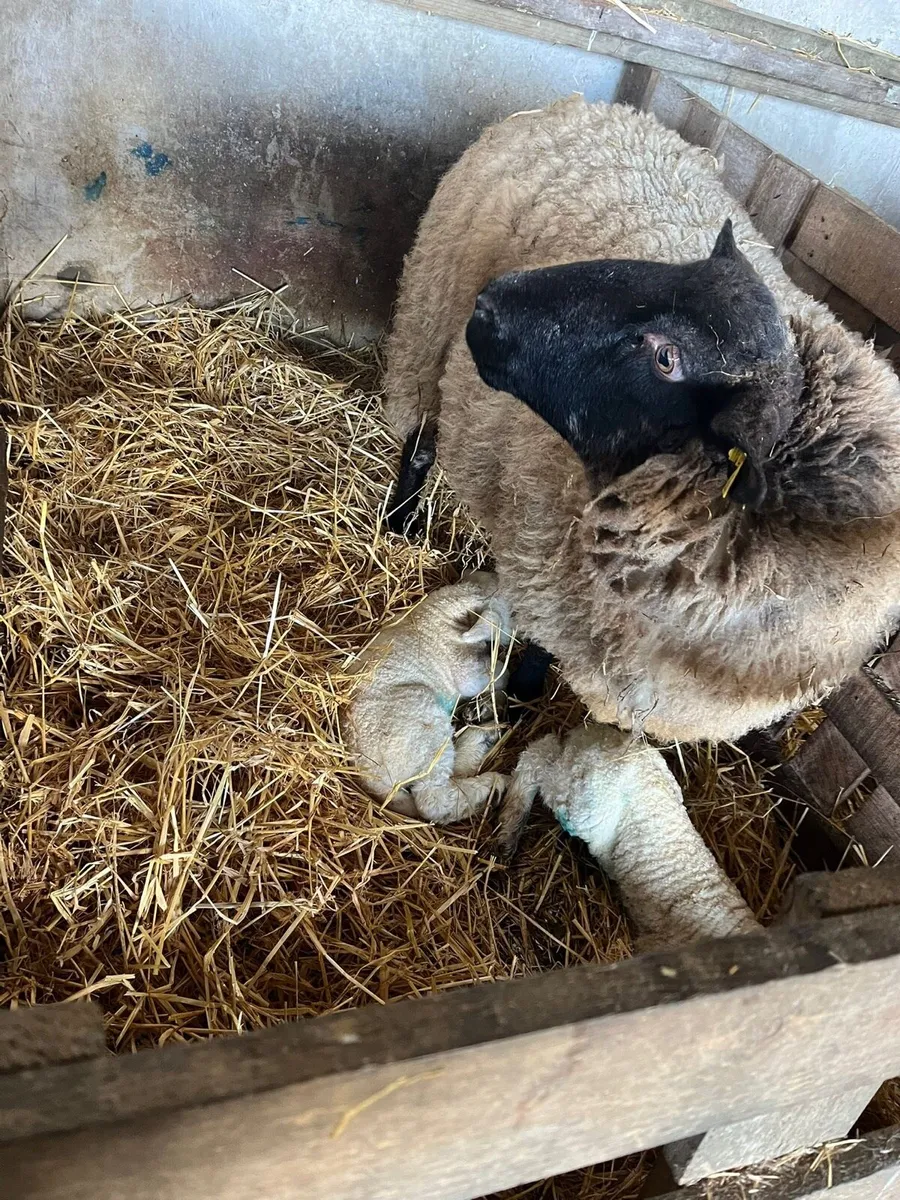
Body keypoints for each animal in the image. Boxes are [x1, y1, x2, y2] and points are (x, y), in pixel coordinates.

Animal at [344, 572, 512, 824]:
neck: (435, 615)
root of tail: (370, 775)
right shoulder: (465, 670)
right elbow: (502, 675)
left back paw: (484, 735)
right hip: (423, 724)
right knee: (432, 799)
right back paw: (490, 785)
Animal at [383, 96, 900, 745]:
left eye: (666, 358)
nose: (492, 303)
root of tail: (586, 107)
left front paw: (526, 696)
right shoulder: (550, 580)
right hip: (430, 310)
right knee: (419, 438)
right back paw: (397, 526)